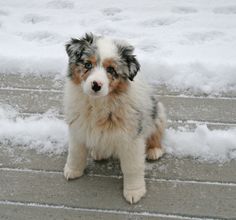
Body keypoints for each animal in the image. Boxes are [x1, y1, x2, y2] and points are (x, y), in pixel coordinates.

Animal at [62, 33, 166, 205]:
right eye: (87, 64)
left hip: (157, 113)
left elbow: (132, 167)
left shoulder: (131, 137)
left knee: (156, 133)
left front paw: (134, 192)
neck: (98, 104)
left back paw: (154, 150)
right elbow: (75, 153)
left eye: (110, 69)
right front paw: (72, 171)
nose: (96, 85)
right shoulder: (78, 127)